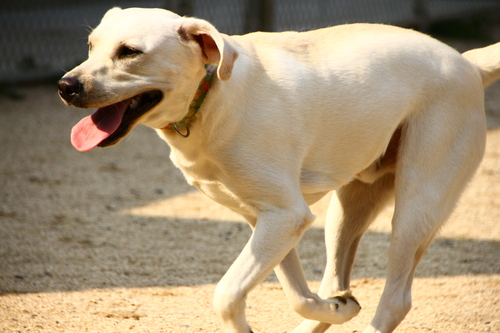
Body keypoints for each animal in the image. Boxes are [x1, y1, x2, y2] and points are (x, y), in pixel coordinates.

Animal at [58, 7, 500, 332]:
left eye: (130, 51)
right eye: (90, 45)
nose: (66, 86)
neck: (213, 97)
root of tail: (466, 62)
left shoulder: (285, 216)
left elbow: (227, 295)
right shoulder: (272, 220)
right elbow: (299, 295)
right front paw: (337, 309)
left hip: (416, 208)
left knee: (395, 301)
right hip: (347, 209)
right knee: (336, 281)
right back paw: (338, 307)